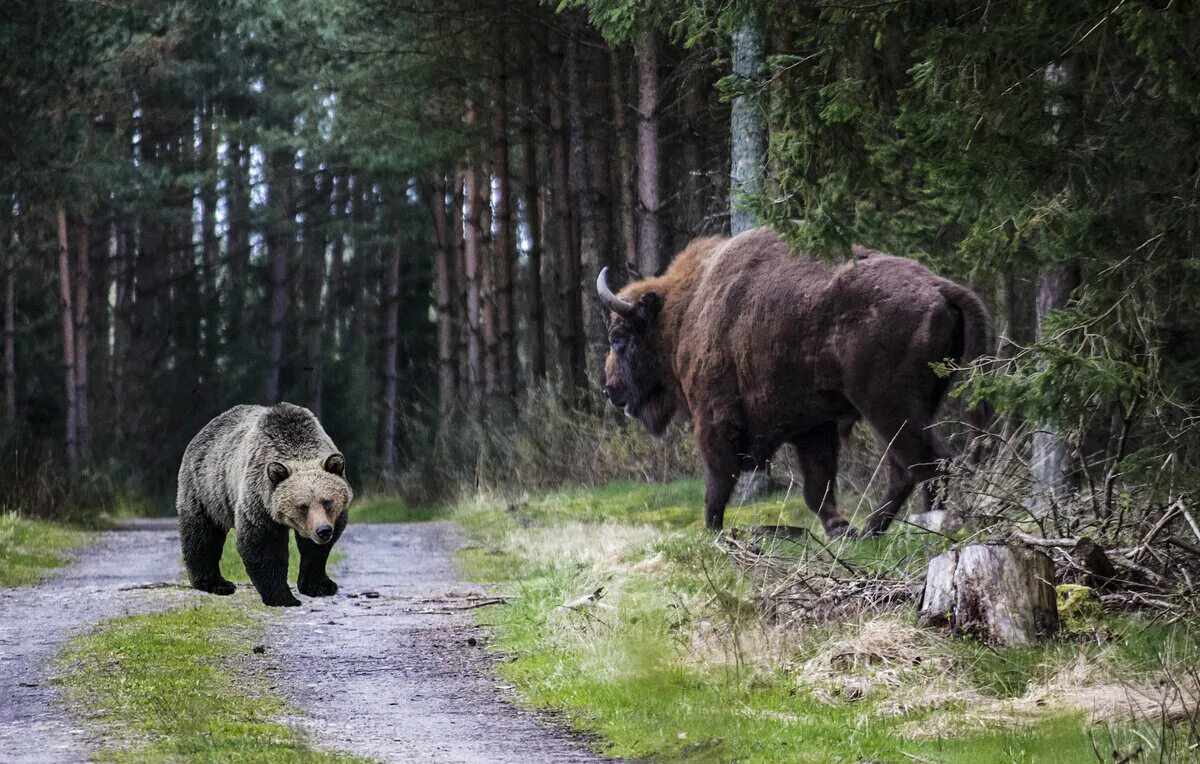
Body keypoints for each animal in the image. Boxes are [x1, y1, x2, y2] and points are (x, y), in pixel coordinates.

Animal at [175, 402, 350, 604]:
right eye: (302, 506)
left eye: (327, 502)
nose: (323, 530)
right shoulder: (259, 502)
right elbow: (264, 546)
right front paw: (283, 597)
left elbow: (315, 551)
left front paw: (321, 586)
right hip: (207, 490)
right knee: (203, 534)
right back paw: (216, 584)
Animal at [595, 227, 988, 537]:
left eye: (618, 337)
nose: (611, 390)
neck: (686, 310)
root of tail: (939, 287)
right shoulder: (813, 427)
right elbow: (817, 487)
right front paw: (838, 529)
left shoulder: (714, 418)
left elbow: (718, 481)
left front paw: (712, 531)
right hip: (915, 406)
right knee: (907, 468)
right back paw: (870, 531)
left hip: (888, 407)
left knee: (928, 463)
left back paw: (920, 528)